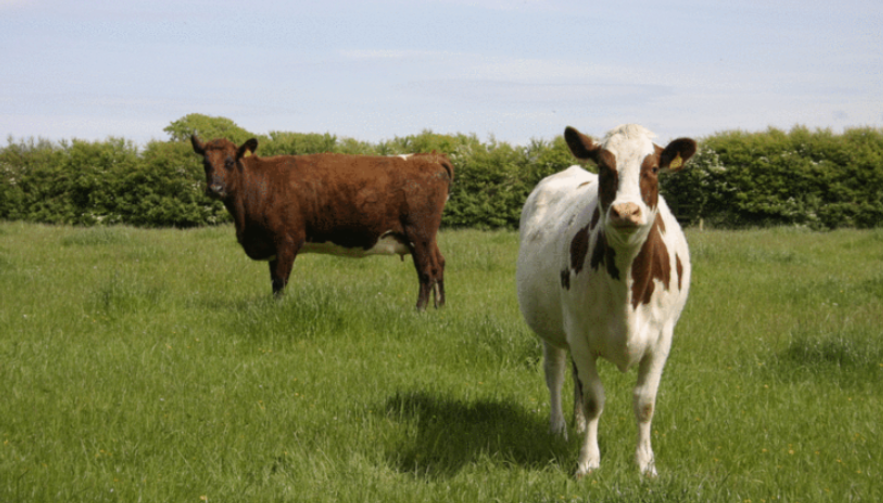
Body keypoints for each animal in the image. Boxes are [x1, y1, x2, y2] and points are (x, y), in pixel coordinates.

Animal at [516, 124, 696, 478]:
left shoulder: (661, 339)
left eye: (653, 168)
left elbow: (645, 402)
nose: (625, 210)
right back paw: (559, 427)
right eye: (603, 167)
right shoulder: (579, 334)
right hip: (552, 331)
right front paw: (587, 462)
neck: (627, 282)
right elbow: (594, 399)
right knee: (556, 373)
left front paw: (645, 464)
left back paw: (578, 426)